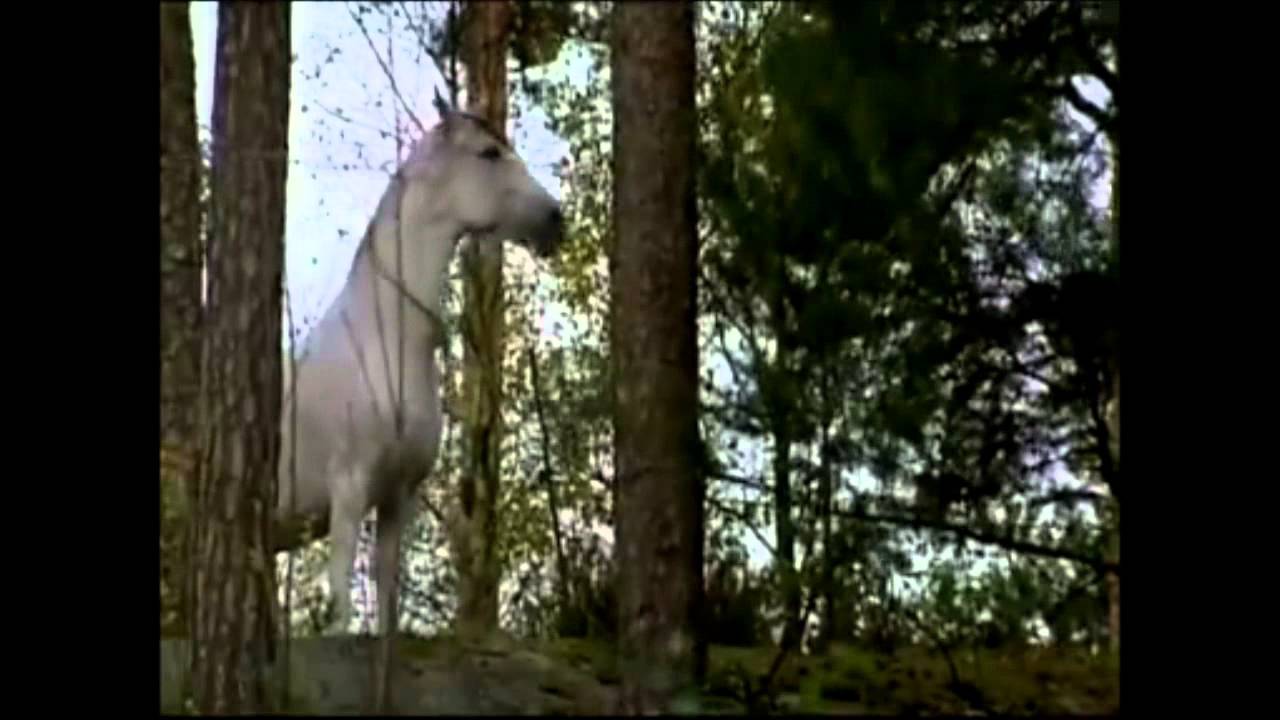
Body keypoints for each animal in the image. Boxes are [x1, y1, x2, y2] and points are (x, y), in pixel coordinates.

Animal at [274, 92, 564, 643]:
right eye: (489, 153)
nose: (555, 221)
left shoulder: (398, 495)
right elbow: (342, 597)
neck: (384, 338)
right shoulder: (349, 490)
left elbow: (388, 589)